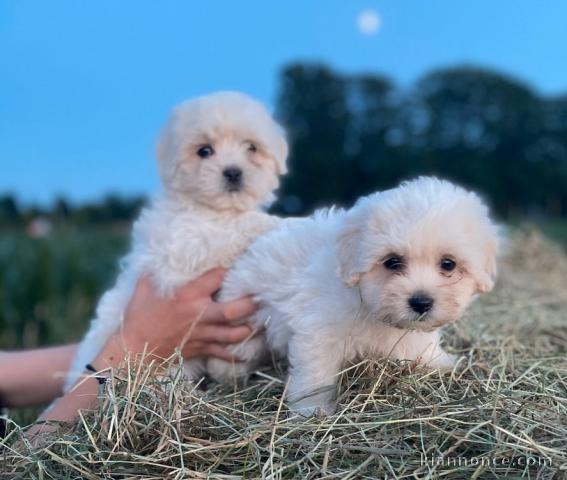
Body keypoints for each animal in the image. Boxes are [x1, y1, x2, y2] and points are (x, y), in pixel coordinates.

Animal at [64, 91, 288, 390]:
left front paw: (231, 367)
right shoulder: (181, 250)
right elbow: (226, 233)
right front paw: (276, 222)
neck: (213, 210)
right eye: (204, 151)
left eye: (252, 148)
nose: (233, 172)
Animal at [215, 176, 500, 416]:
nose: (421, 302)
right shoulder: (319, 333)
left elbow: (421, 348)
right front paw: (312, 409)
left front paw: (443, 363)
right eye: (392, 262)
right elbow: (316, 375)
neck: (367, 304)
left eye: (448, 264)